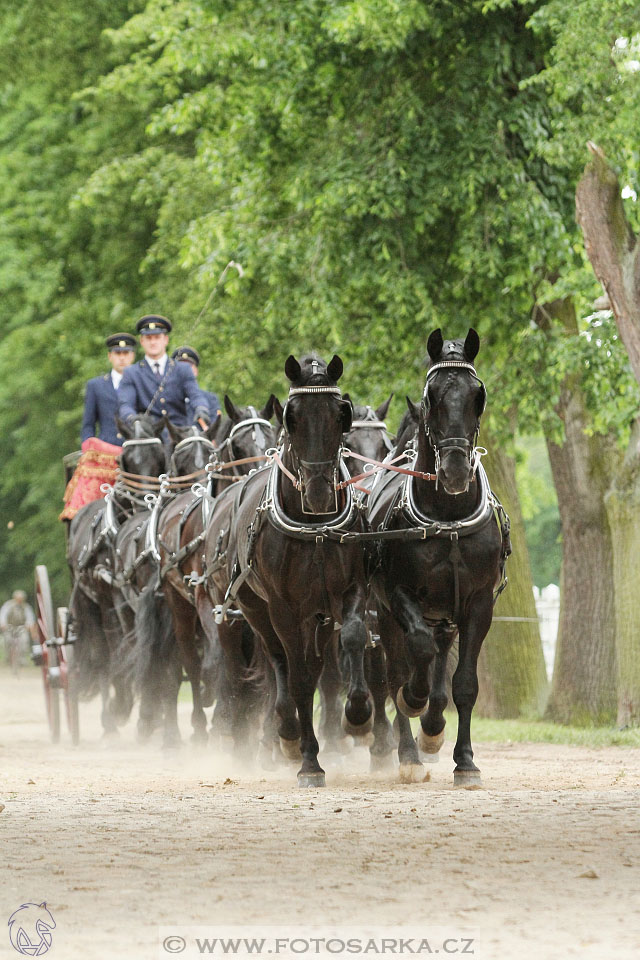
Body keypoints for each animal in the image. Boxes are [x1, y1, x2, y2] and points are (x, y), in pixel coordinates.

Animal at [205, 356, 370, 784]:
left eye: (340, 414)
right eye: (291, 418)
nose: (318, 493)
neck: (314, 527)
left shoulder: (348, 592)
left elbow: (353, 639)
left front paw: (358, 715)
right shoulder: (283, 607)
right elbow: (294, 675)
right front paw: (309, 759)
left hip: (316, 614)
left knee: (315, 667)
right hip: (254, 609)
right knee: (279, 660)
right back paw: (285, 732)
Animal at [368, 334, 508, 784]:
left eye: (478, 395)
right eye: (431, 396)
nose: (455, 472)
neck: (448, 519)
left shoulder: (478, 603)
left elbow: (463, 684)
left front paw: (464, 760)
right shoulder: (398, 595)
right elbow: (417, 657)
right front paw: (413, 701)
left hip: (445, 613)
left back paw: (430, 731)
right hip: (385, 614)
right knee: (398, 669)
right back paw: (409, 751)